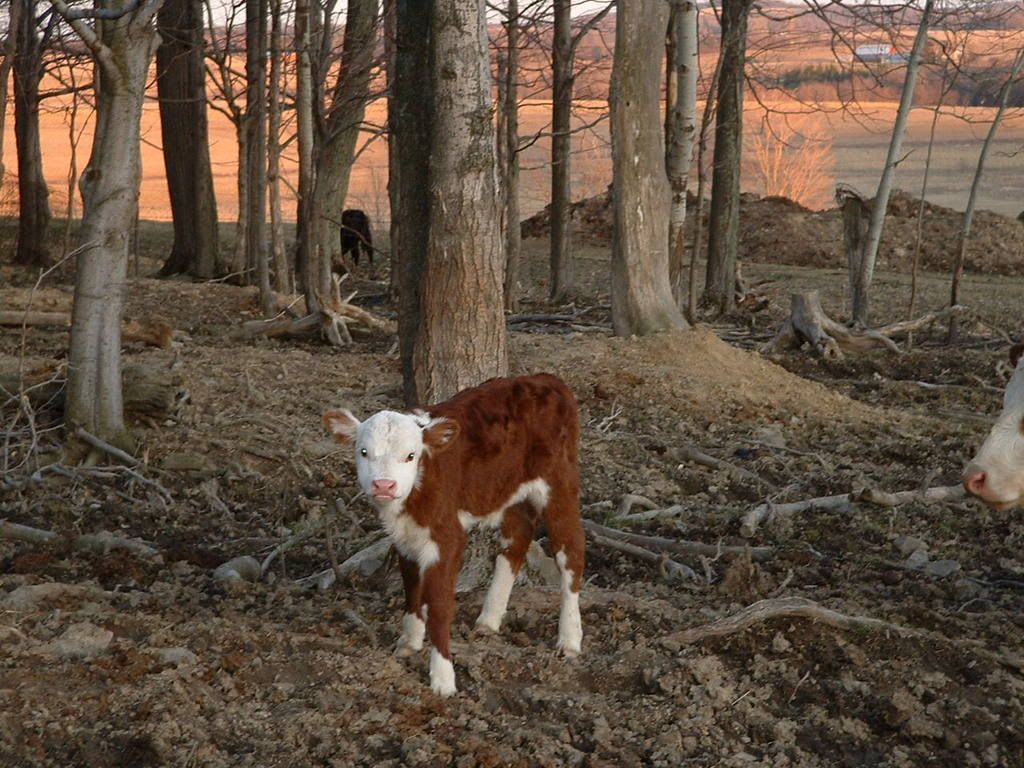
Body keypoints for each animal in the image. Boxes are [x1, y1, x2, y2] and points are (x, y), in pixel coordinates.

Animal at [323, 374, 585, 697]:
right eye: (363, 452)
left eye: (411, 455)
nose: (384, 485)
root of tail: (547, 379)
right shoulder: (406, 537)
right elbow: (412, 587)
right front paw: (409, 641)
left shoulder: (447, 537)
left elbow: (438, 604)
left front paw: (443, 678)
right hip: (508, 489)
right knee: (516, 539)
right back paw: (489, 619)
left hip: (558, 482)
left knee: (571, 550)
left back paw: (570, 639)